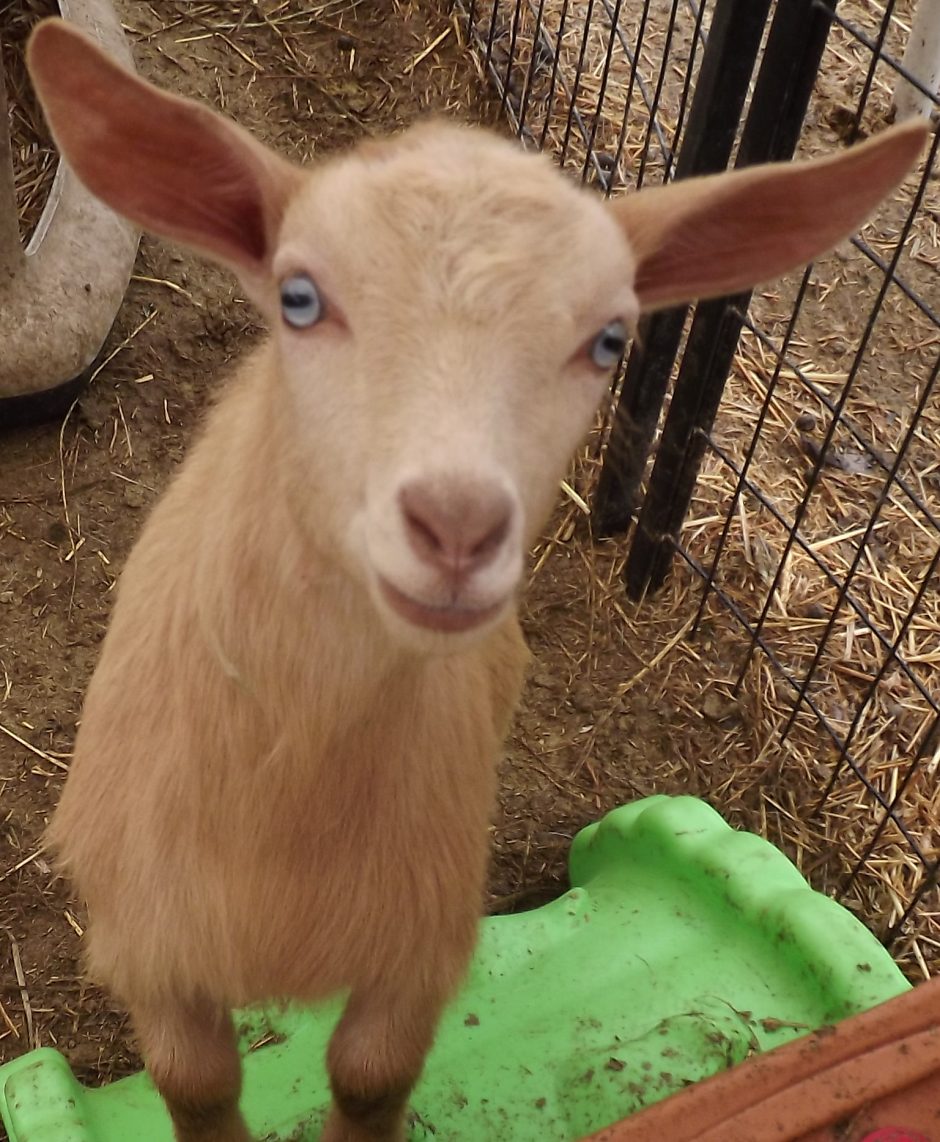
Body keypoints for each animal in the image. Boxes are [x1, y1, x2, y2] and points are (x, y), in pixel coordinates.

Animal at [27, 19, 926, 1142]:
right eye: (299, 298)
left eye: (611, 339)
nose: (456, 525)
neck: (291, 799)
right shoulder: (152, 942)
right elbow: (195, 1085)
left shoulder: (421, 933)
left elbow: (370, 1076)